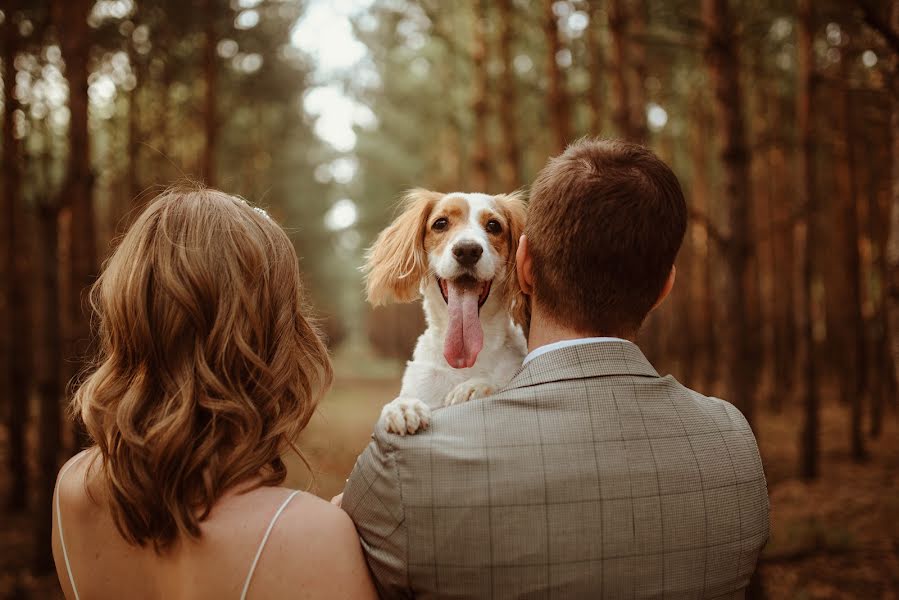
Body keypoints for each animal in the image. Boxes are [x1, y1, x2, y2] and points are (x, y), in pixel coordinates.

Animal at [364, 190, 528, 434]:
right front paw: (403, 406)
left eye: (494, 225)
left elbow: (495, 383)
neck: (464, 361)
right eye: (440, 223)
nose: (467, 250)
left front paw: (475, 387)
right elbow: (403, 399)